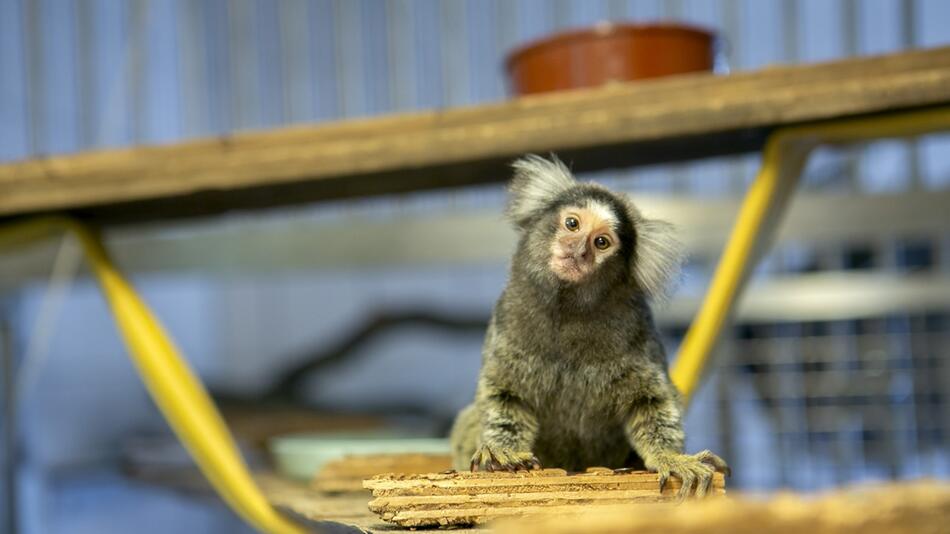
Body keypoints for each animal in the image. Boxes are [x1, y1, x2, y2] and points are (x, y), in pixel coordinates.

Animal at [452, 155, 728, 502]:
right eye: (572, 224)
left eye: (601, 242)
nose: (578, 249)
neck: (567, 312)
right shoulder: (506, 325)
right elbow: (504, 397)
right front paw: (503, 452)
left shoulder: (636, 333)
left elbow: (652, 401)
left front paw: (670, 457)